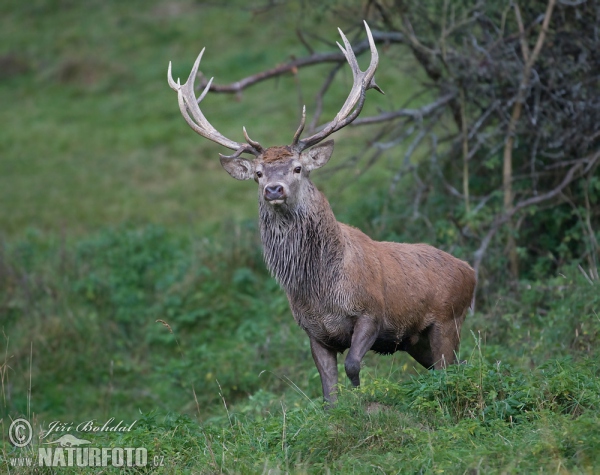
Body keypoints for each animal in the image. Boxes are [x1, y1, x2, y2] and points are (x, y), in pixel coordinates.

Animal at [166, 20, 476, 404]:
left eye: (298, 168)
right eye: (257, 174)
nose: (273, 189)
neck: (319, 291)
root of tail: (471, 272)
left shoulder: (371, 312)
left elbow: (354, 366)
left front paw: (362, 403)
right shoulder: (313, 332)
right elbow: (328, 390)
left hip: (448, 321)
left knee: (453, 367)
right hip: (419, 341)